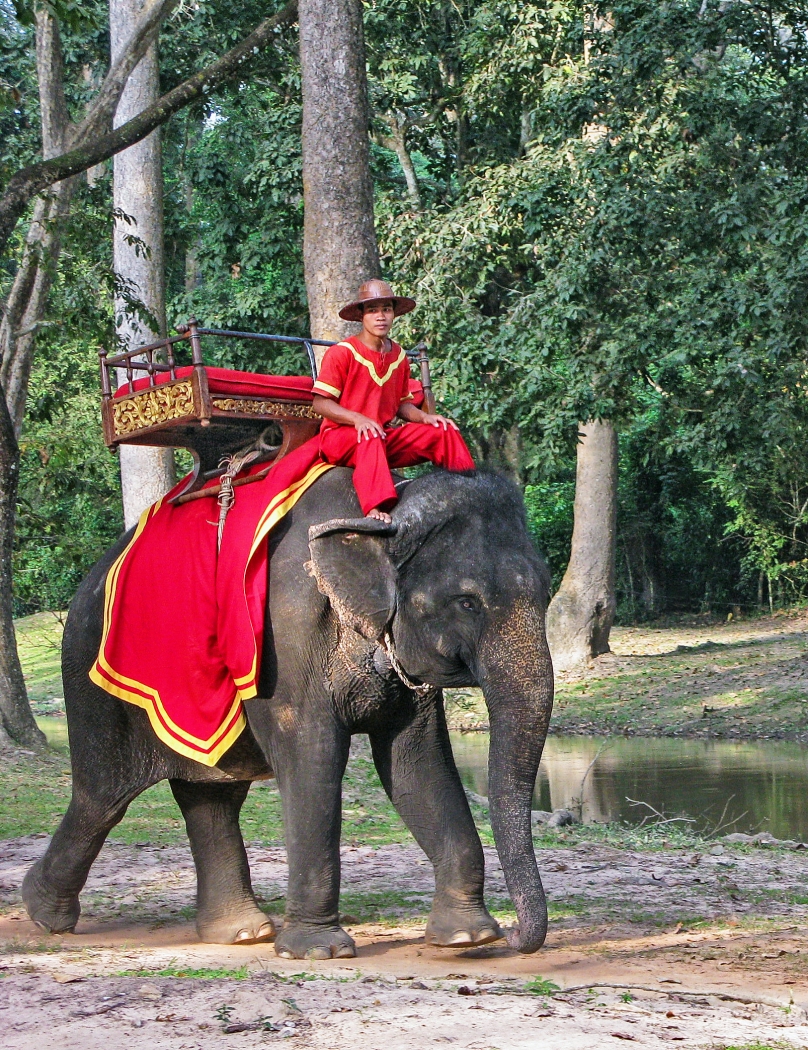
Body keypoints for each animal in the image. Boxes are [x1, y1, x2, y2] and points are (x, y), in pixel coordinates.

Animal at [23, 468, 554, 961]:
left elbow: (416, 765)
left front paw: (467, 937)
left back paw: (241, 933)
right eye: (467, 602)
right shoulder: (285, 639)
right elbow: (313, 757)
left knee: (212, 796)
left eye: (546, 595)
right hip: (92, 678)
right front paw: (319, 951)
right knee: (103, 796)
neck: (380, 512)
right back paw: (44, 913)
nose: (514, 937)